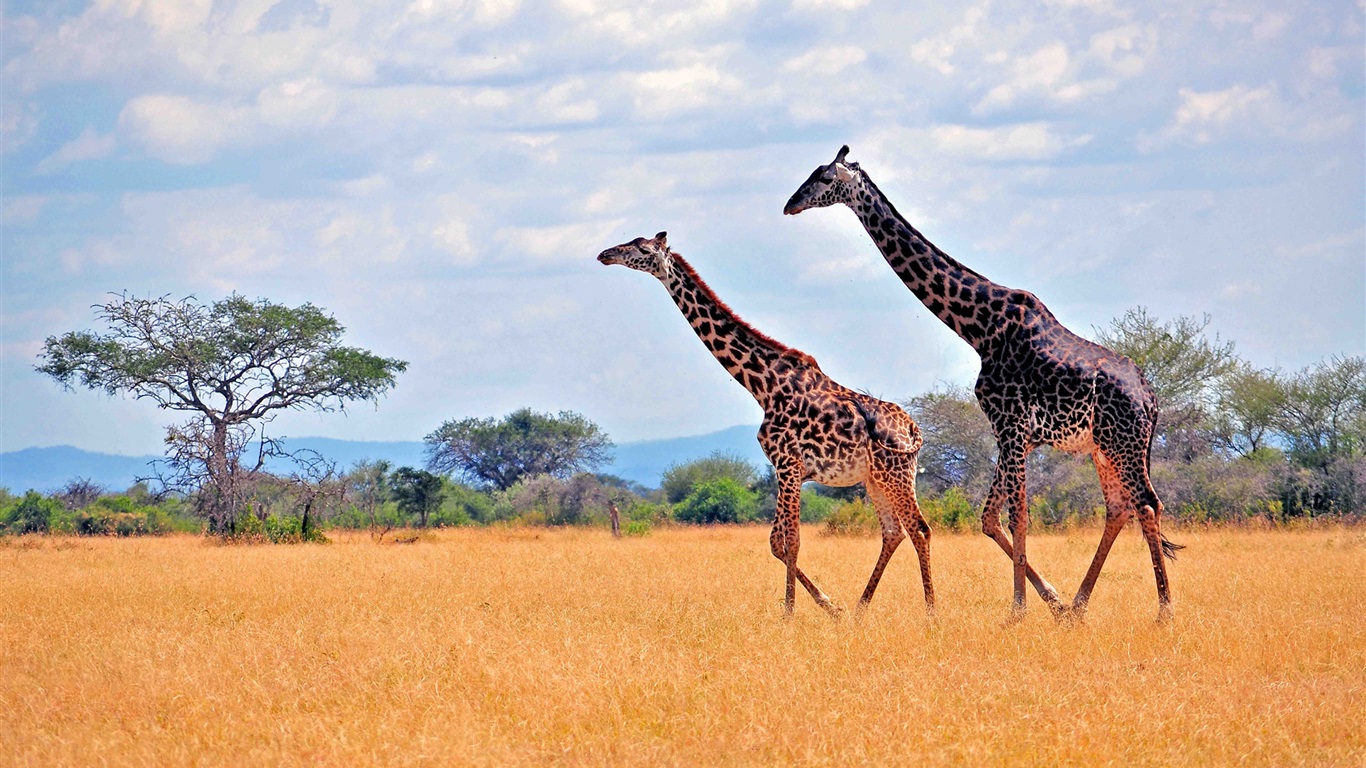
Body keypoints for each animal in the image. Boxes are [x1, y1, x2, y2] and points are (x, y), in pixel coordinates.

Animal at [598, 232, 934, 617]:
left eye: (641, 248)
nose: (605, 254)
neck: (762, 385)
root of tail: (913, 429)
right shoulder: (785, 468)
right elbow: (776, 542)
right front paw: (829, 607)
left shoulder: (788, 464)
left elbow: (791, 541)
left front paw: (791, 613)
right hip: (875, 479)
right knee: (894, 532)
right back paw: (859, 610)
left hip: (896, 474)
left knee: (919, 529)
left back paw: (931, 612)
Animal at [784, 146, 1182, 623]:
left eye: (825, 178)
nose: (791, 205)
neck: (979, 328)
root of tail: (1151, 399)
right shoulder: (1015, 434)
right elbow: (990, 518)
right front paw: (1052, 602)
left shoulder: (1009, 425)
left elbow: (1017, 516)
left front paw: (1018, 611)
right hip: (1103, 447)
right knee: (1120, 508)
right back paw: (1079, 606)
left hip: (1122, 443)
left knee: (1147, 504)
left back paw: (1164, 611)